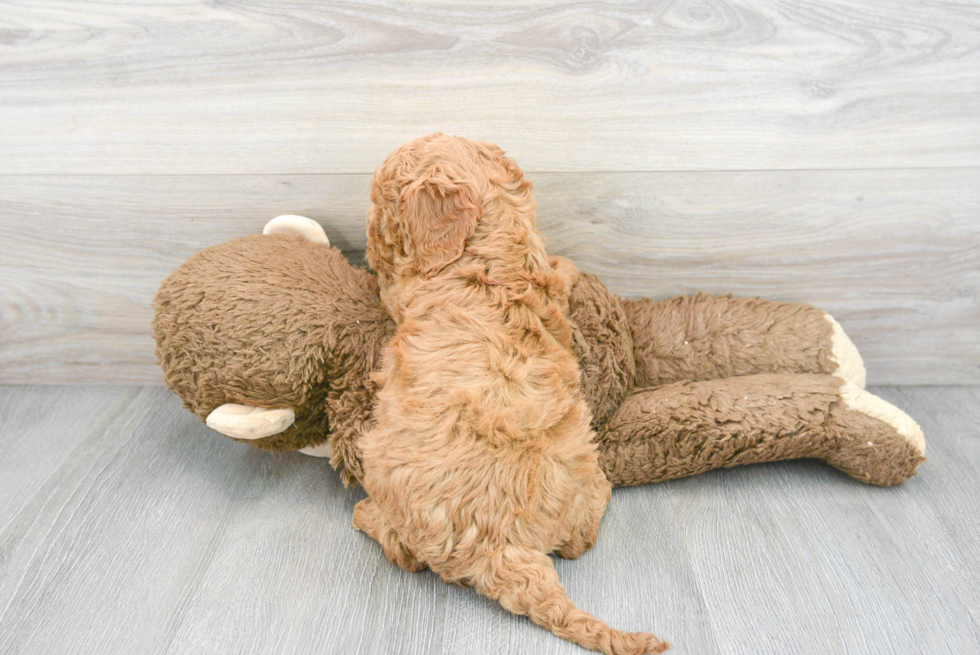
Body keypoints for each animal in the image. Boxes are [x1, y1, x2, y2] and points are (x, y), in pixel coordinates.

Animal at [356, 135, 668, 655]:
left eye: (383, 206)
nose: (366, 247)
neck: (493, 256)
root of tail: (502, 551)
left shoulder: (400, 293)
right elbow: (559, 275)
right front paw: (568, 267)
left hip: (383, 469)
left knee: (404, 553)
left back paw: (364, 514)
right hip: (579, 474)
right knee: (580, 539)